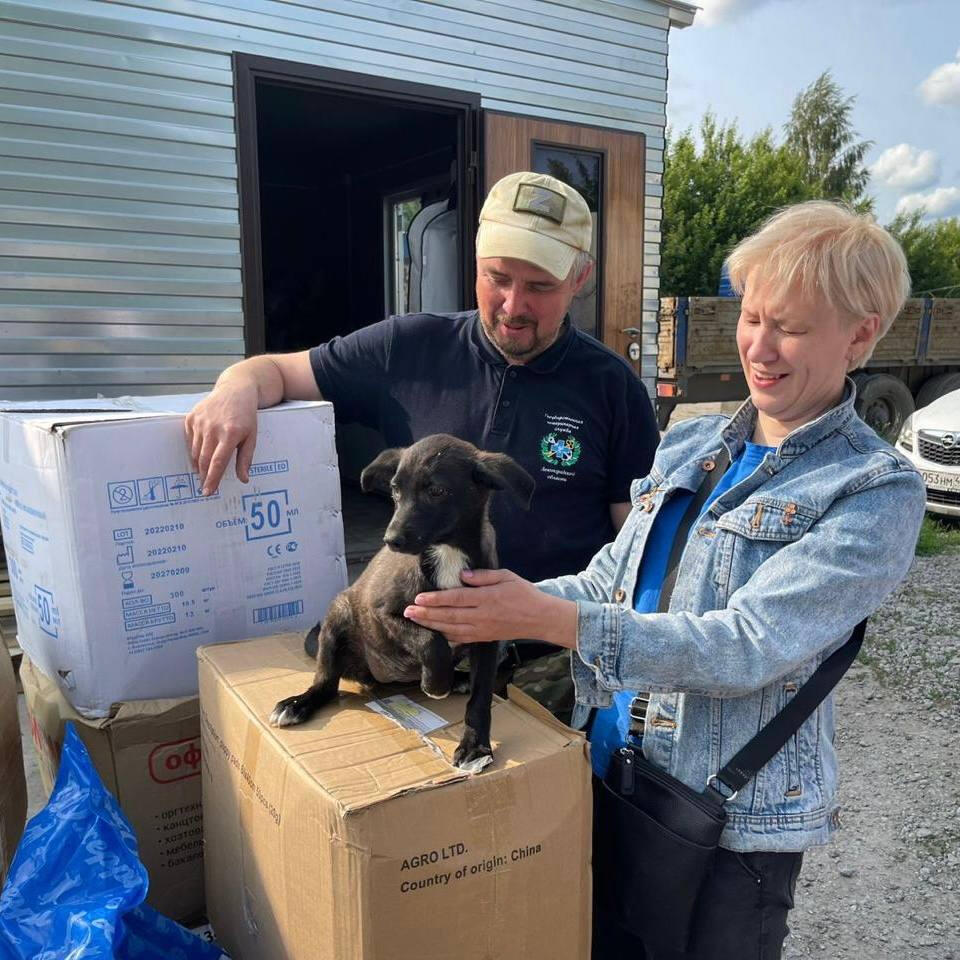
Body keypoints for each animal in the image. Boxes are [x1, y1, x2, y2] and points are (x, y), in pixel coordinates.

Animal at [269, 434, 534, 772]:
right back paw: (298, 704)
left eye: (436, 491)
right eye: (395, 490)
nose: (390, 540)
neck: (447, 552)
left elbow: (480, 698)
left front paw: (475, 746)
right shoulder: (384, 613)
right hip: (338, 614)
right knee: (326, 682)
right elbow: (430, 639)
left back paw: (459, 679)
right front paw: (436, 684)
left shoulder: (488, 633)